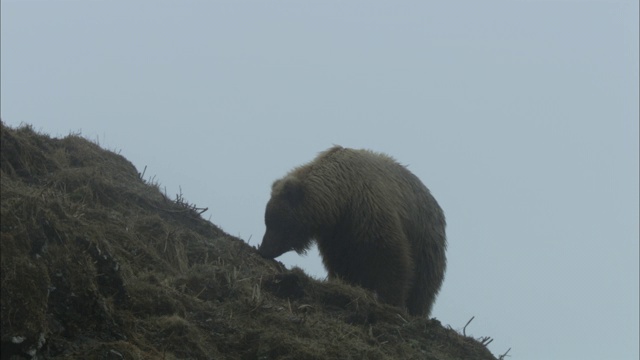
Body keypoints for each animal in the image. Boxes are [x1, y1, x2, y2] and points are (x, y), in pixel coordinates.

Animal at [258, 145, 448, 316]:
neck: (342, 198)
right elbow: (342, 264)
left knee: (423, 284)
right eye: (267, 221)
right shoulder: (339, 234)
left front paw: (392, 302)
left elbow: (391, 257)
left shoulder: (370, 211)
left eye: (276, 222)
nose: (263, 249)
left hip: (425, 240)